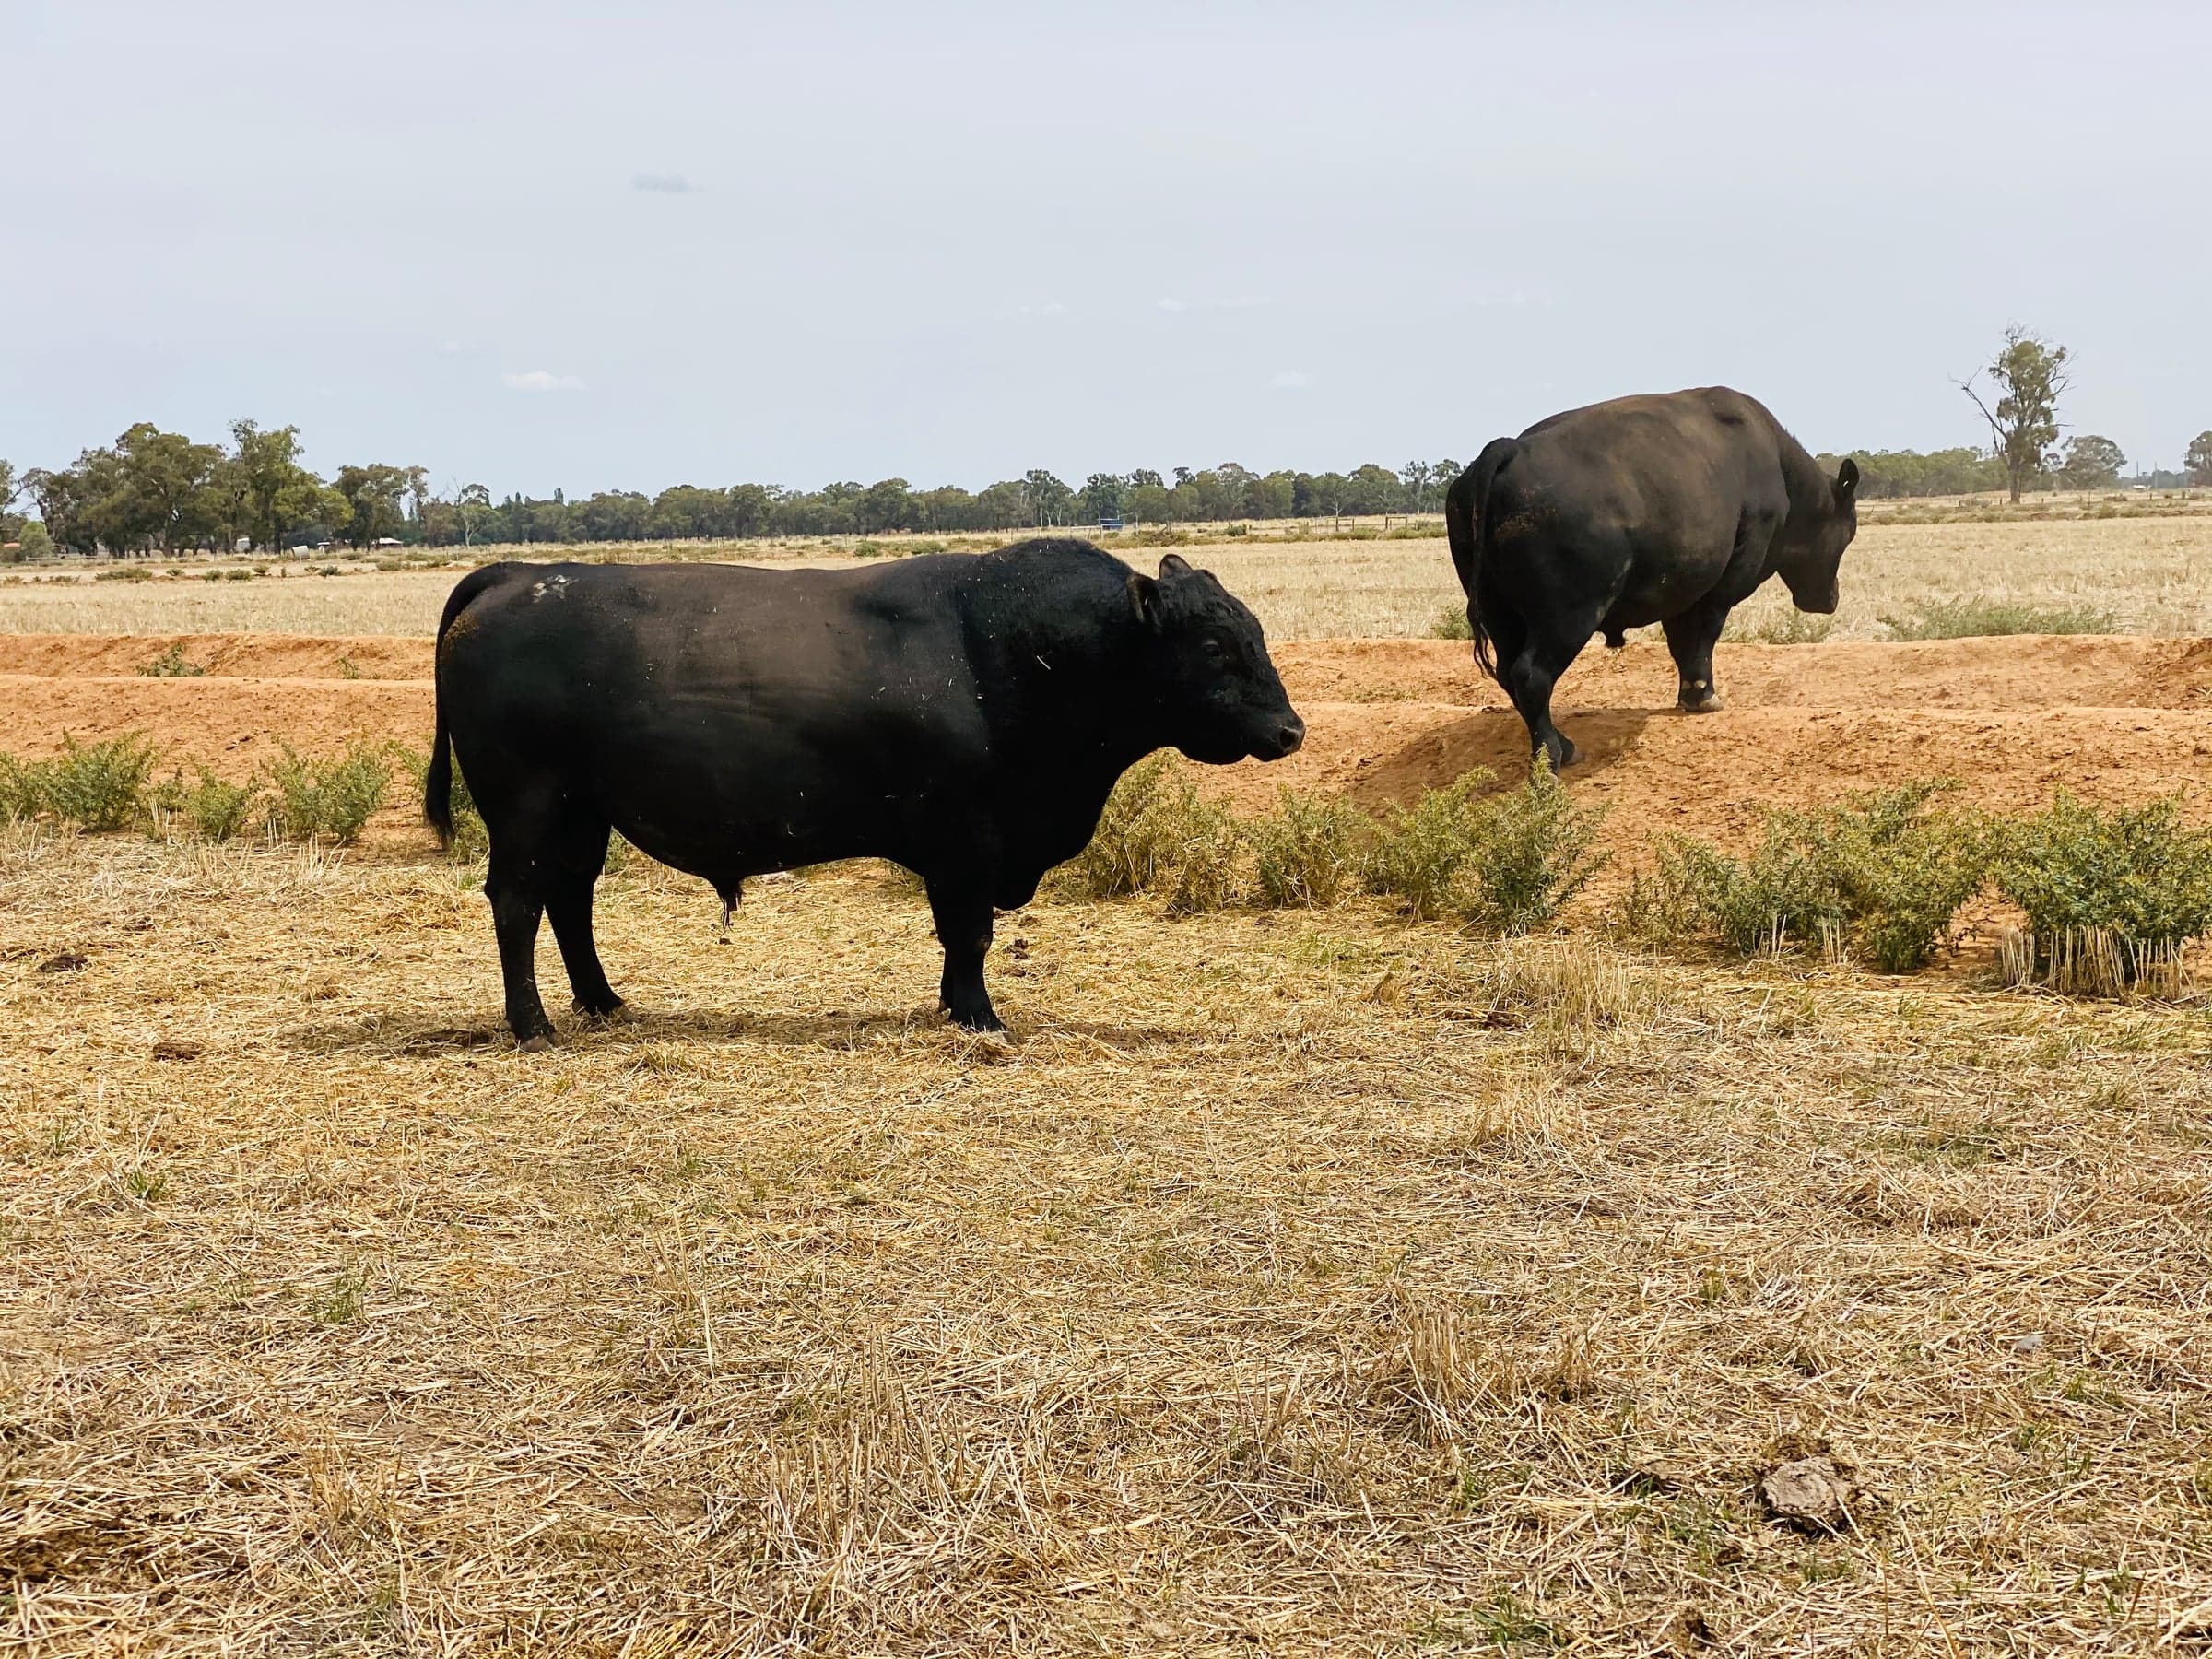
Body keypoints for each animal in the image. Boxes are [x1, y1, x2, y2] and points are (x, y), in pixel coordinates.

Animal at [423, 540, 1305, 1048]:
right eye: (1216, 645)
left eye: (1254, 632)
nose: (1290, 729)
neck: (1023, 650)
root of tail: (519, 575)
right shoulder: (969, 841)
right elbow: (970, 935)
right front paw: (982, 1018)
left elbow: (957, 939)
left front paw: (959, 1009)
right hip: (527, 806)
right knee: (518, 902)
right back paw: (533, 1026)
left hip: (583, 812)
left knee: (570, 899)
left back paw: (603, 1002)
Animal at [1444, 387, 1859, 769]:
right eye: (1849, 532)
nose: (1831, 599)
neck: (1778, 466)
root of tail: (1510, 449)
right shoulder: (1723, 585)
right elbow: (1702, 636)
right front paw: (1703, 695)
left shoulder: (1680, 589)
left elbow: (1680, 640)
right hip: (1569, 615)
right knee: (1531, 675)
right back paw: (1551, 758)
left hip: (1501, 615)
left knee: (1508, 675)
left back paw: (1566, 745)